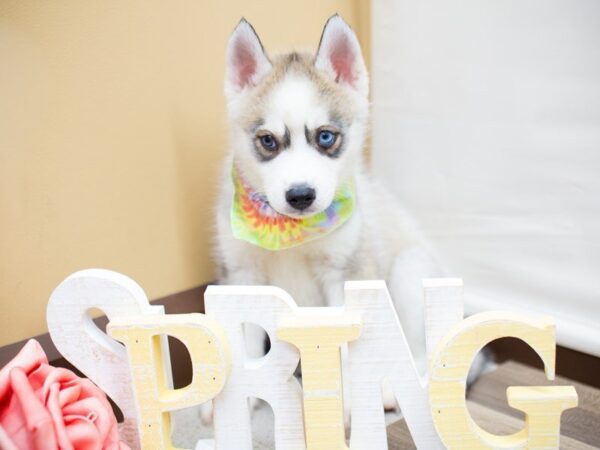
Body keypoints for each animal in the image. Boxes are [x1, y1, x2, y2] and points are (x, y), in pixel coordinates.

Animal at [216, 14, 440, 376]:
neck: (289, 235)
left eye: (325, 137)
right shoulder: (243, 276)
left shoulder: (345, 273)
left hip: (410, 270)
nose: (300, 195)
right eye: (268, 141)